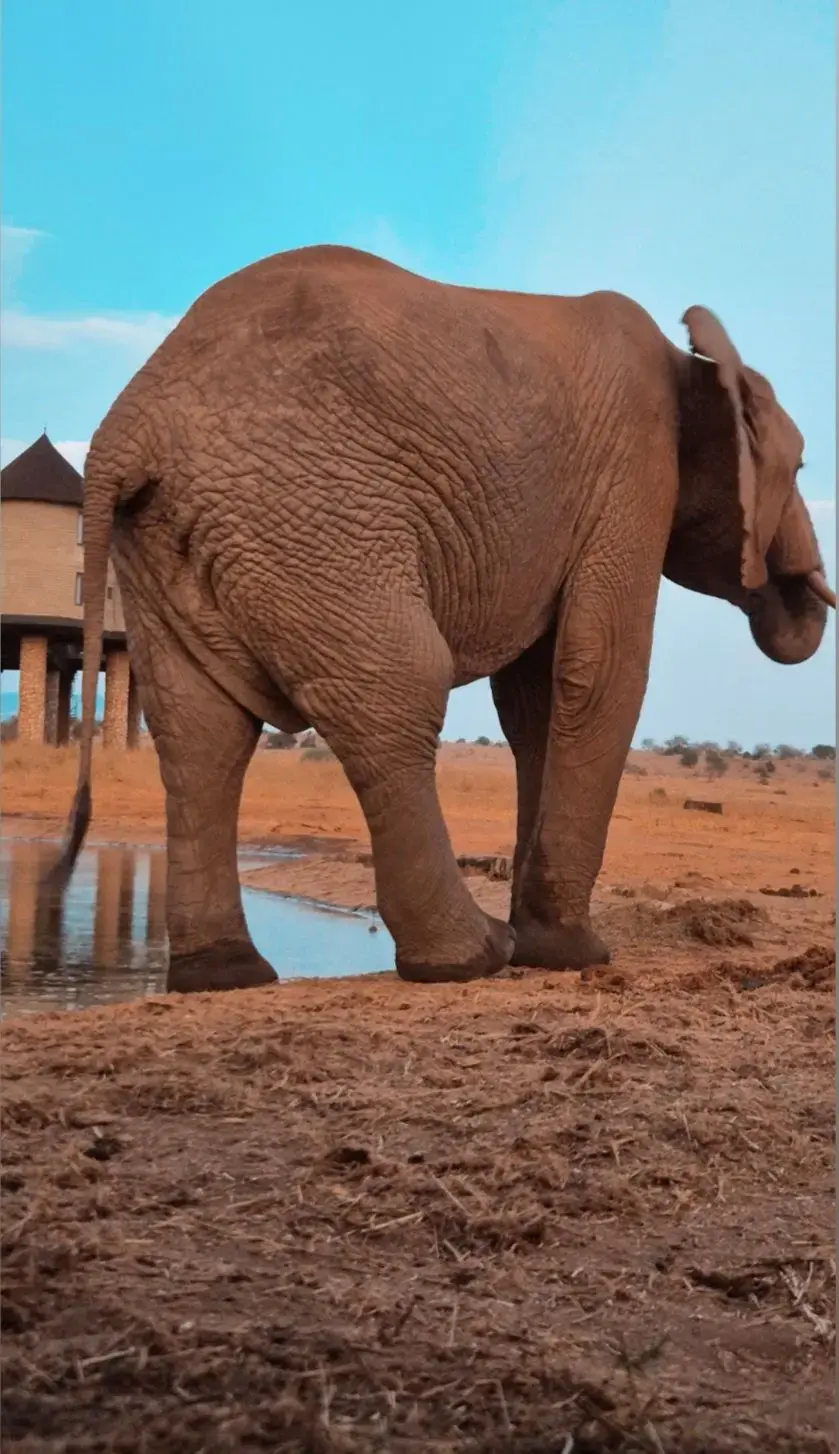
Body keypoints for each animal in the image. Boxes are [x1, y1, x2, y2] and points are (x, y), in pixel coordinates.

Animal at [49, 244, 835, 994]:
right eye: (799, 471)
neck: (695, 362)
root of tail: (126, 430)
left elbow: (535, 701)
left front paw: (547, 945)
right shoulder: (632, 472)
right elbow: (601, 666)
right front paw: (571, 955)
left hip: (175, 541)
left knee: (201, 732)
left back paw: (224, 975)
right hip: (315, 519)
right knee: (397, 691)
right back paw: (471, 956)